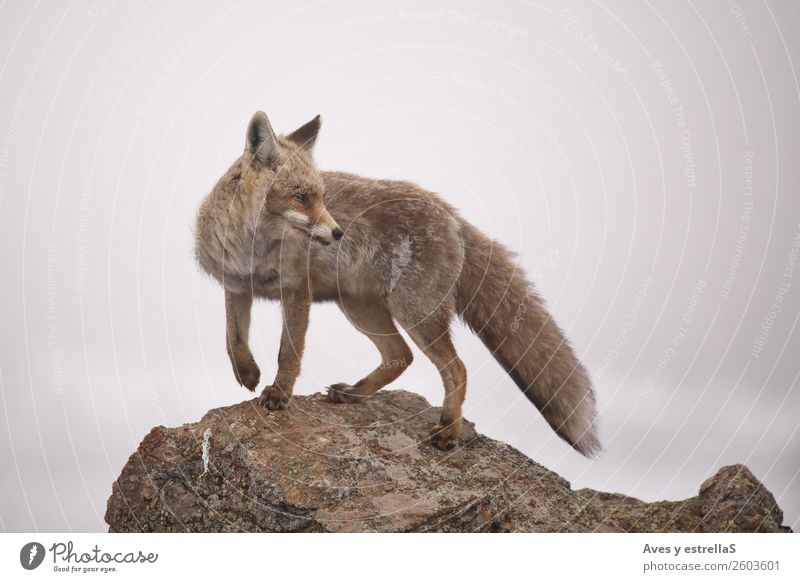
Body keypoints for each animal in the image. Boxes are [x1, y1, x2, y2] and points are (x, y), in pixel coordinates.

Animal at [191, 110, 596, 456]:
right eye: (301, 198)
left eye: (321, 198)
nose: (338, 232)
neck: (253, 252)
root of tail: (450, 213)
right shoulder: (236, 287)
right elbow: (233, 340)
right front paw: (248, 373)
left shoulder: (296, 291)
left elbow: (288, 352)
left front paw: (279, 393)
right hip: (360, 308)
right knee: (400, 356)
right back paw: (355, 394)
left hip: (414, 313)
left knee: (456, 369)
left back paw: (448, 430)